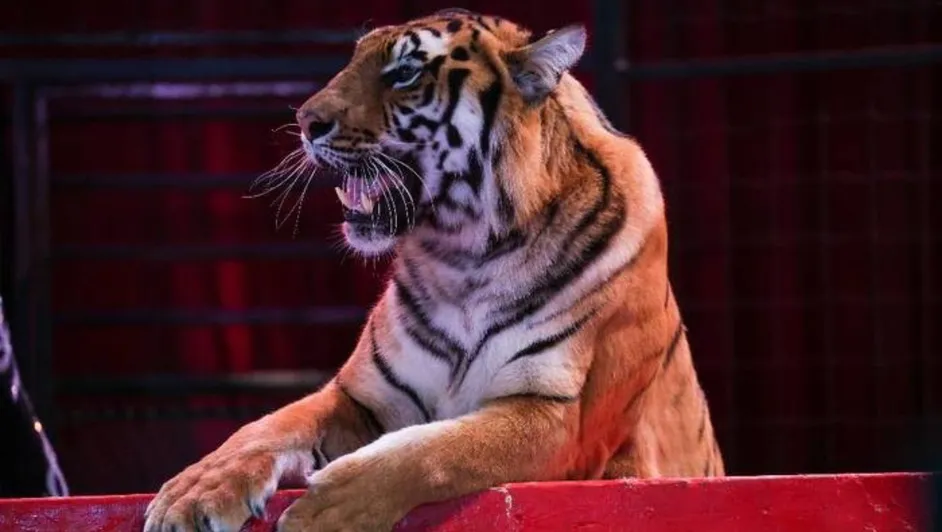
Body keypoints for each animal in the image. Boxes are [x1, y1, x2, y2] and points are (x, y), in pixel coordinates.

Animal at [143, 8, 724, 532]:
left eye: (404, 72)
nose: (305, 123)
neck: (464, 254)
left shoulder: (560, 413)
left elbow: (441, 448)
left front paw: (325, 511)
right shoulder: (360, 395)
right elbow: (269, 426)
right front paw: (192, 494)